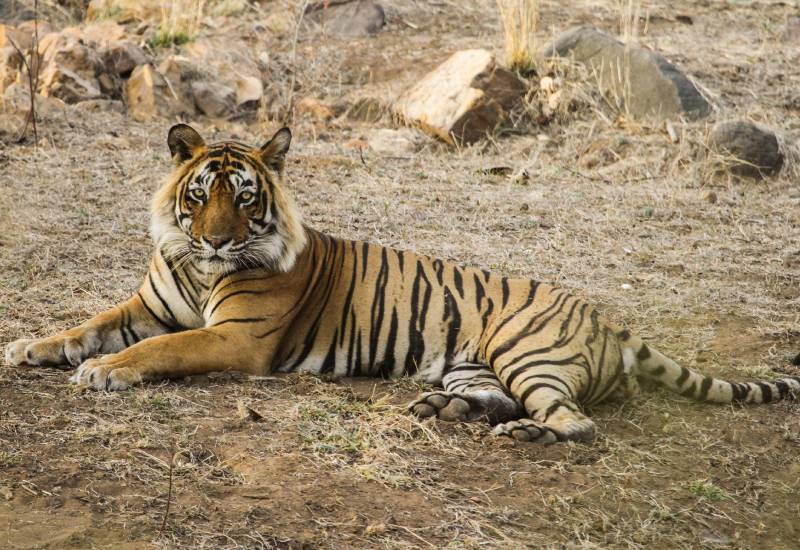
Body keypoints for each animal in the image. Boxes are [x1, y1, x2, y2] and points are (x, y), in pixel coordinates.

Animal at [5, 124, 799, 444]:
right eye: (201, 195)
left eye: (246, 198)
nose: (219, 239)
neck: (198, 267)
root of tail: (610, 320)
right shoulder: (146, 305)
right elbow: (85, 325)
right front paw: (28, 347)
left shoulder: (234, 338)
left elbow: (154, 351)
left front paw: (105, 372)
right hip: (476, 363)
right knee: (494, 398)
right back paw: (439, 412)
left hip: (527, 350)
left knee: (574, 422)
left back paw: (524, 435)